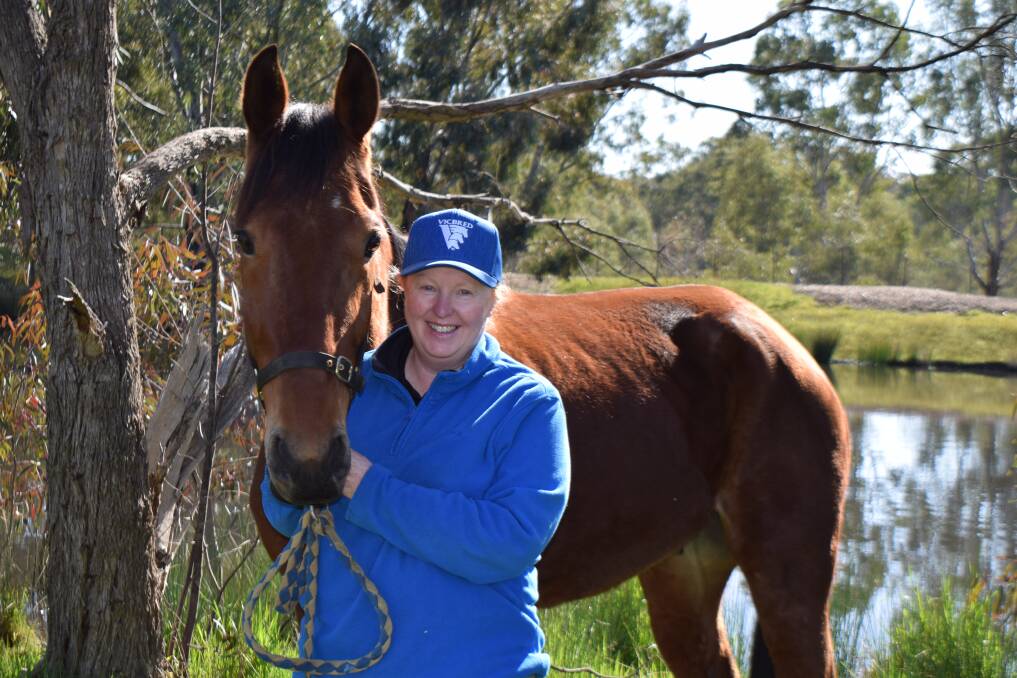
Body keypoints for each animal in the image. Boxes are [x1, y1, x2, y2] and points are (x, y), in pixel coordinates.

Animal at [235, 44, 850, 674]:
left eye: (369, 241)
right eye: (244, 239)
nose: (310, 464)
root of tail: (783, 343)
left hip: (791, 586)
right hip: (684, 573)